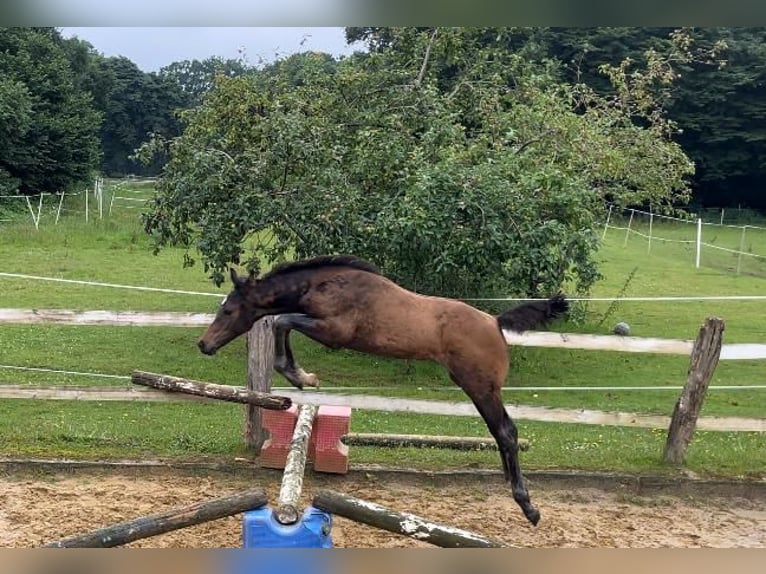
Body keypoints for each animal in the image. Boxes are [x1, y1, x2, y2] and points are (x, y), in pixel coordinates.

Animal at [198, 256, 568, 528]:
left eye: (228, 310)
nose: (204, 344)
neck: (325, 285)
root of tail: (495, 322)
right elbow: (283, 321)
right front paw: (300, 375)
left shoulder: (335, 332)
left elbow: (281, 321)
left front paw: (300, 375)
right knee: (502, 433)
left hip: (481, 387)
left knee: (506, 431)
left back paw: (527, 505)